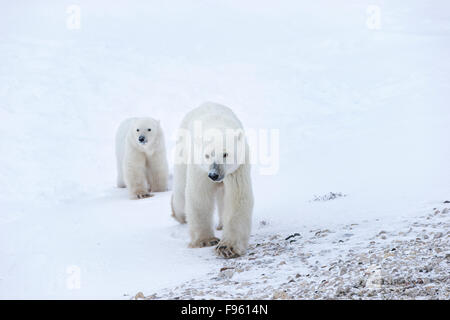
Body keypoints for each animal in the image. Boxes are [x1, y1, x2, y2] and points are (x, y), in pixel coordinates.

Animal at [171, 104, 253, 258]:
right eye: (207, 155)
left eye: (225, 154)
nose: (214, 175)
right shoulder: (199, 167)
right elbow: (199, 196)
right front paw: (206, 241)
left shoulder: (237, 168)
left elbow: (237, 198)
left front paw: (227, 247)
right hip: (182, 152)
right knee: (180, 189)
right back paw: (179, 214)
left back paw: (221, 224)